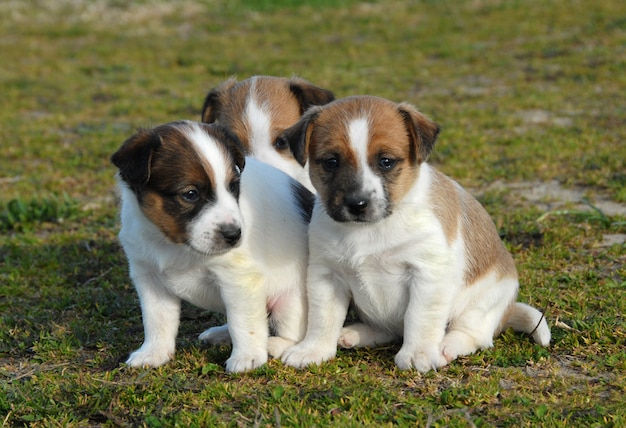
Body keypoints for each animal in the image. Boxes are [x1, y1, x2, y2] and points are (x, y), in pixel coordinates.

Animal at [111, 119, 312, 372]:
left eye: (234, 186)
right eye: (190, 194)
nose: (235, 235)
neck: (174, 243)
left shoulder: (239, 278)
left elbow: (243, 322)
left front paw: (247, 357)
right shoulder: (149, 277)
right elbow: (157, 320)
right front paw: (153, 353)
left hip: (290, 301)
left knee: (290, 332)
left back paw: (274, 344)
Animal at [280, 96, 548, 372]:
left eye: (386, 161)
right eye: (331, 162)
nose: (357, 204)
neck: (371, 229)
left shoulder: (427, 274)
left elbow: (419, 318)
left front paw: (418, 353)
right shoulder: (326, 275)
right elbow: (322, 318)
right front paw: (313, 349)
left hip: (483, 303)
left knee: (473, 335)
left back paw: (446, 346)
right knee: (388, 330)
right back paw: (355, 333)